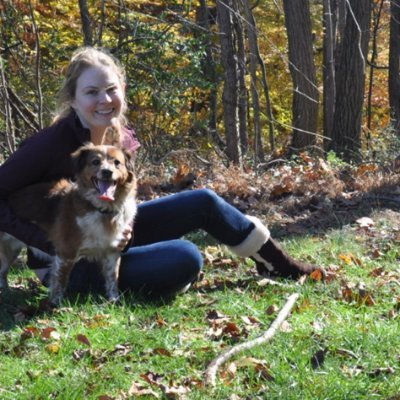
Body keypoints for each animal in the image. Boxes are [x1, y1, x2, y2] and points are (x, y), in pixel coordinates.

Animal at [0, 144, 137, 306]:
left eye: (117, 162)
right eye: (95, 162)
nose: (107, 172)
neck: (102, 209)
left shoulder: (112, 252)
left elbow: (112, 280)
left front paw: (114, 301)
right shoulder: (65, 254)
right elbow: (60, 282)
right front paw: (55, 306)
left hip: (11, 250)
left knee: (2, 272)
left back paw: (6, 294)